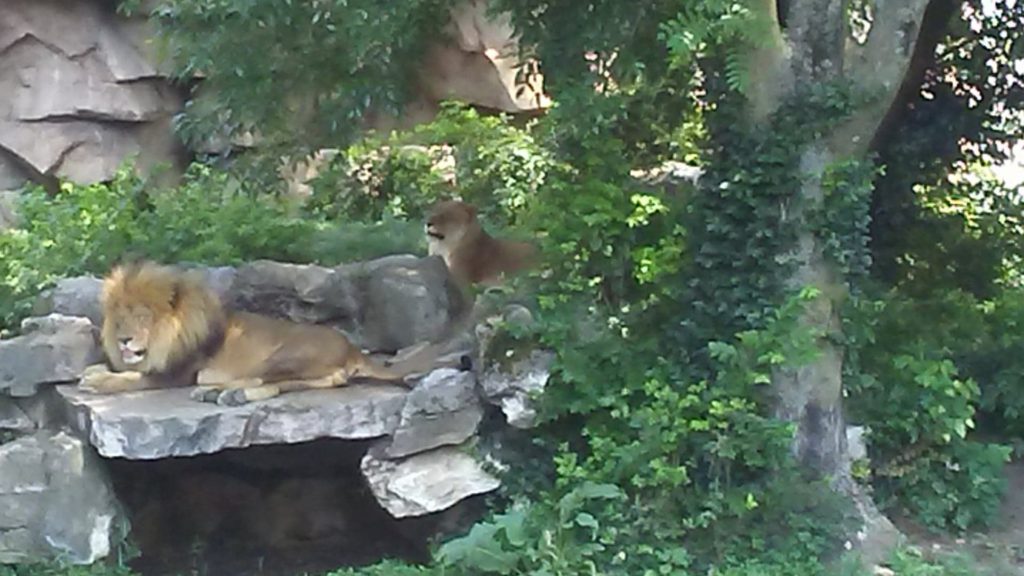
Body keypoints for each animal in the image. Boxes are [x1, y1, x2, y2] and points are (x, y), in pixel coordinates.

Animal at [78, 260, 428, 403]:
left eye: (142, 317)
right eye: (119, 319)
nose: (123, 339)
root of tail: (352, 348)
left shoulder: (177, 373)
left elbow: (131, 378)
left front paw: (99, 381)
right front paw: (93, 370)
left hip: (283, 356)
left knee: (268, 381)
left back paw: (227, 393)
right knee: (316, 383)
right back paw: (221, 394)